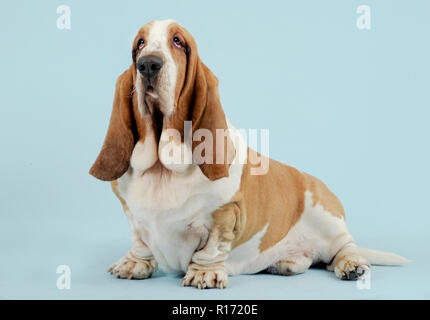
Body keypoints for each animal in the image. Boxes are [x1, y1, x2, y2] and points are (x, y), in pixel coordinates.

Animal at [89, 20, 408, 290]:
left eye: (178, 41)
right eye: (139, 44)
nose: (148, 64)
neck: (163, 168)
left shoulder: (226, 213)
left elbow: (212, 247)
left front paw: (204, 273)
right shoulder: (133, 215)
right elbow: (140, 242)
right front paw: (133, 264)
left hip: (327, 216)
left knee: (344, 248)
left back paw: (351, 265)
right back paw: (286, 262)